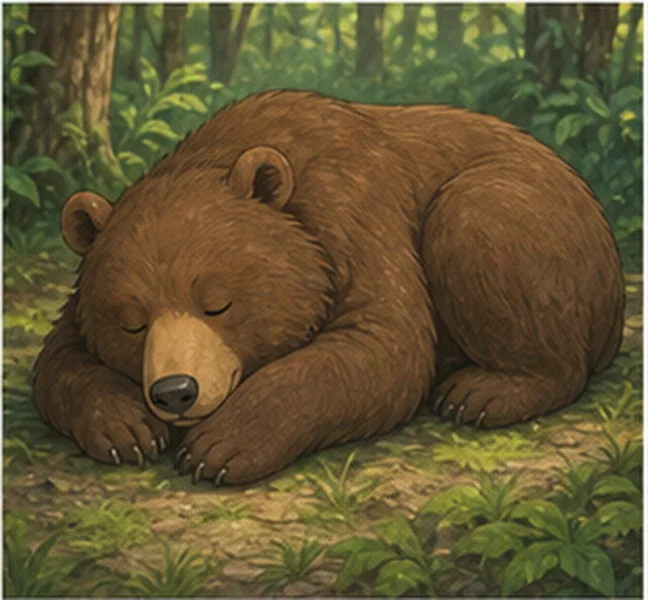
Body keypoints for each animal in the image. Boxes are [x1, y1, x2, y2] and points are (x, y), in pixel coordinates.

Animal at [33, 90, 625, 486]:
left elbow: (381, 344)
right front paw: (123, 427)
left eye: (219, 304)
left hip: (530, 221)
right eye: (131, 321)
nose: (175, 392)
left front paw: (220, 446)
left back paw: (483, 391)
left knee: (476, 219)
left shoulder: (355, 205)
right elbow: (58, 357)